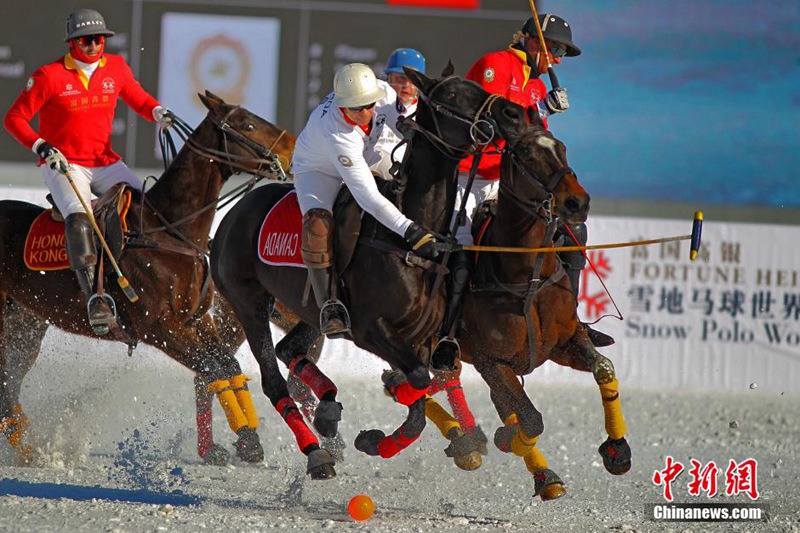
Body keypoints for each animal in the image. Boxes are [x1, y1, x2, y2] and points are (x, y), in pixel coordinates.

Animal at [0, 91, 294, 466]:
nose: (293, 147)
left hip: (24, 324)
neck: (170, 229)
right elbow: (213, 368)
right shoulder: (160, 328)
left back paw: (30, 448)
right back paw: (33, 453)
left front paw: (248, 440)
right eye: (248, 125)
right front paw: (245, 439)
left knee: (8, 385)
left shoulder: (196, 319)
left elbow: (226, 365)